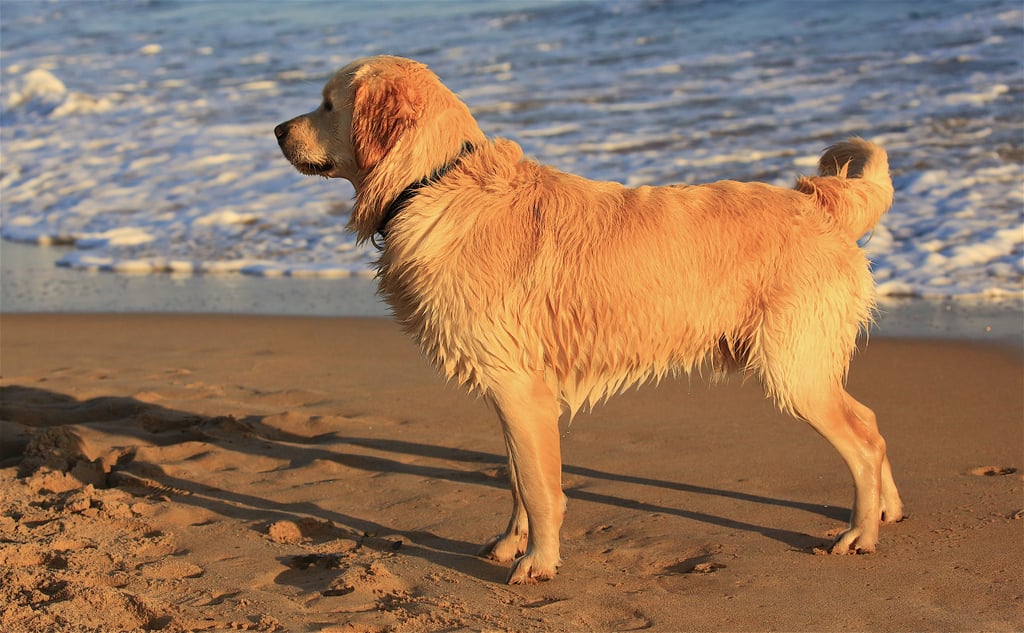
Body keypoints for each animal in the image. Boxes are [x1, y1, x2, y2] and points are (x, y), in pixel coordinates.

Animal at [272, 54, 905, 581]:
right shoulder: (511, 390)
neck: (433, 183)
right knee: (873, 421)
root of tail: (818, 202)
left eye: (327, 104)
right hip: (805, 362)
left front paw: (538, 562)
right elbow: (516, 478)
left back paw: (859, 534)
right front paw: (512, 543)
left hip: (792, 365)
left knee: (863, 440)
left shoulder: (520, 389)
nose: (277, 130)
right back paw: (888, 509)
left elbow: (539, 487)